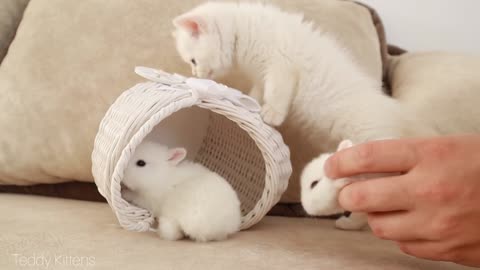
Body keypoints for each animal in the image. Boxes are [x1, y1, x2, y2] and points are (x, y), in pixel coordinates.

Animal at [172, 1, 436, 146]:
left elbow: (276, 91)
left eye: (193, 60)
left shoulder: (282, 65)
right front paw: (251, 102)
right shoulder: (261, 74)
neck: (244, 31)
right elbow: (258, 90)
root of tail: (393, 110)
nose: (195, 72)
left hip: (370, 137)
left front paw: (272, 114)